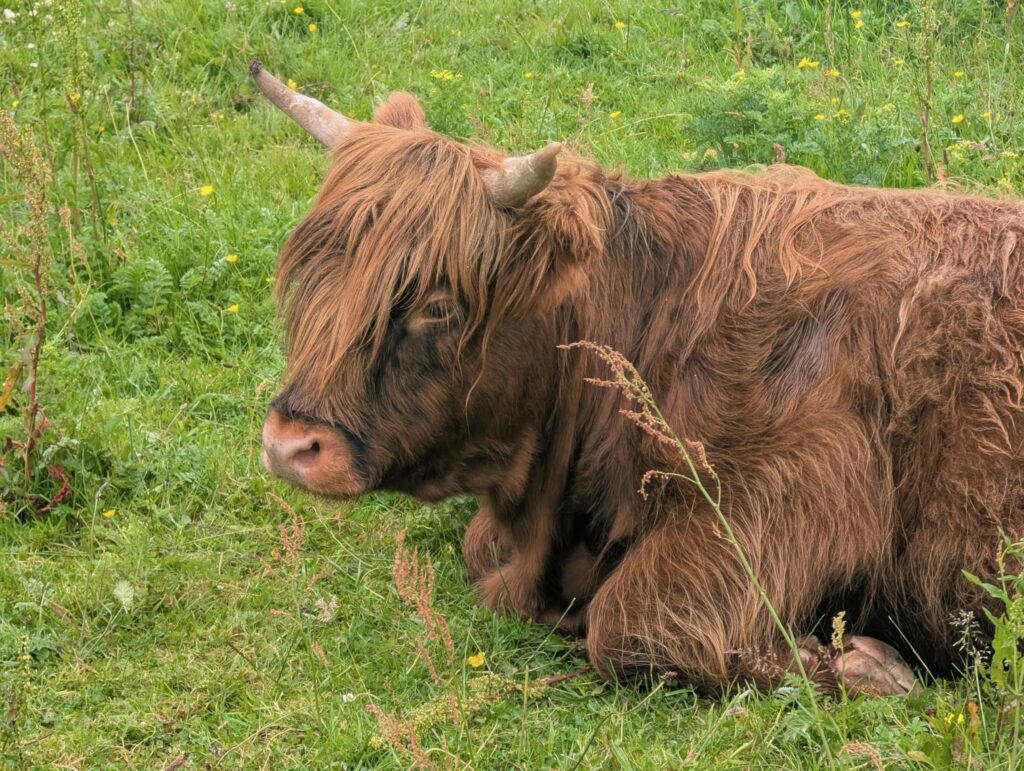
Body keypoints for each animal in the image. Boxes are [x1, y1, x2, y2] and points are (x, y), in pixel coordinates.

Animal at [252, 59, 1024, 696]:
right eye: (316, 275)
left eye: (437, 305)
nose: (289, 444)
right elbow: (483, 554)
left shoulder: (804, 488)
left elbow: (630, 620)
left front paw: (867, 664)